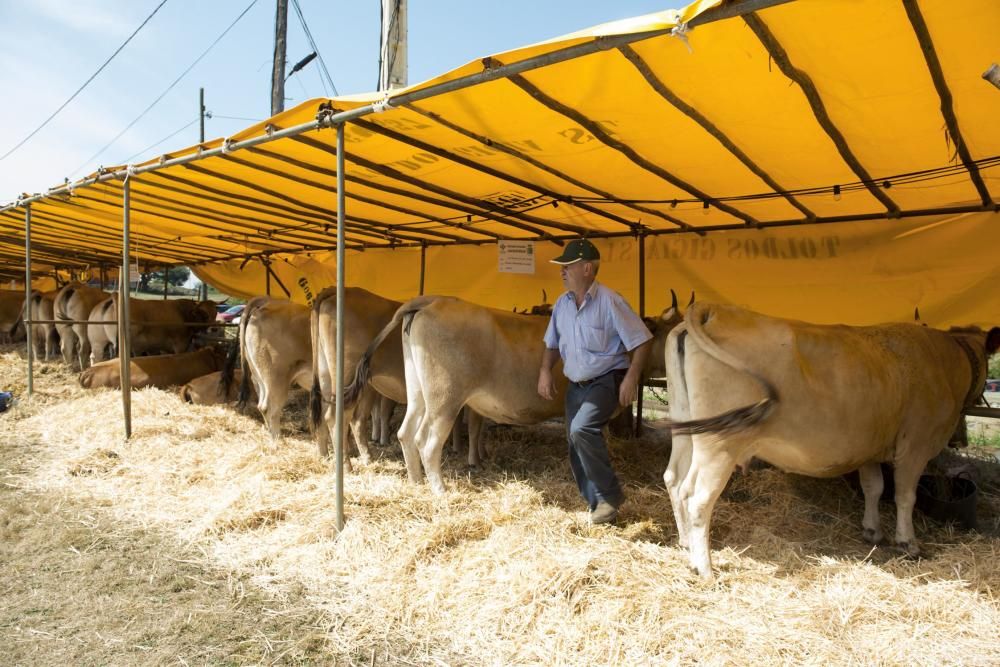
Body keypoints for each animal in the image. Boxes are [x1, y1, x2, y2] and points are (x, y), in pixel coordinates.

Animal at [664, 302, 1000, 580]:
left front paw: (872, 531)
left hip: (687, 427)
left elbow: (874, 488)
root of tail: (714, 309)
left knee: (674, 480)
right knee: (697, 496)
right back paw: (705, 569)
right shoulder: (915, 445)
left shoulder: (870, 448)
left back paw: (686, 547)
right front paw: (908, 543)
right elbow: (905, 496)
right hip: (720, 445)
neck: (947, 360)